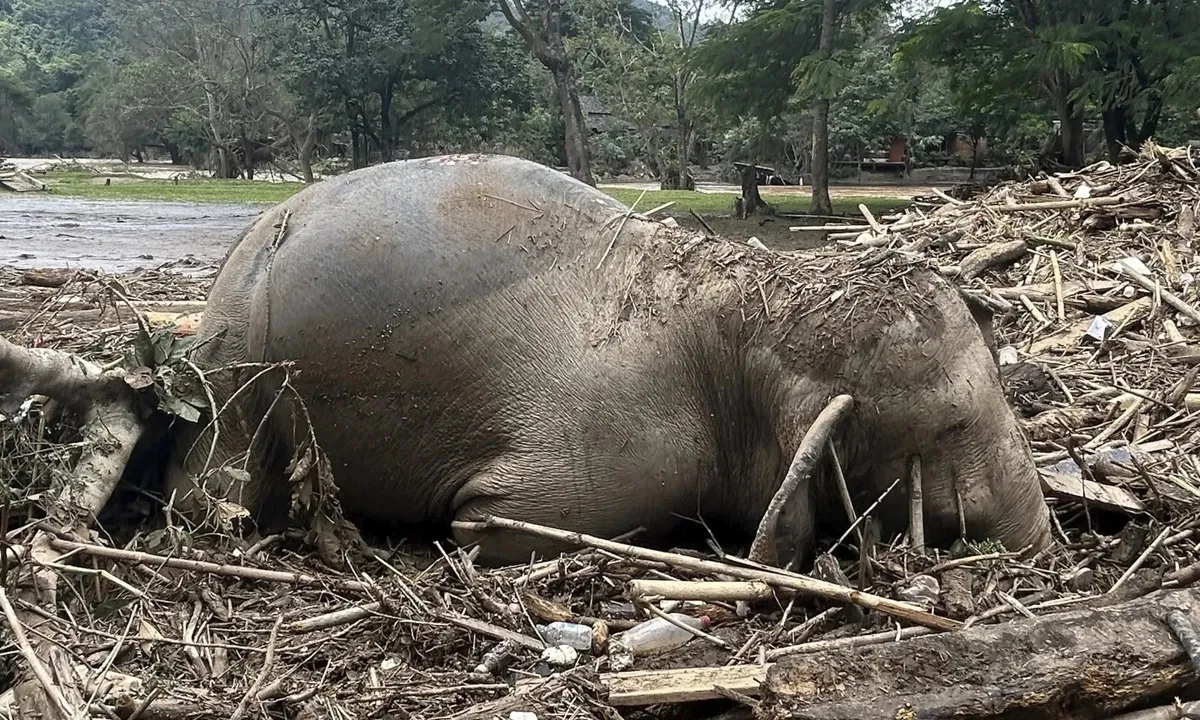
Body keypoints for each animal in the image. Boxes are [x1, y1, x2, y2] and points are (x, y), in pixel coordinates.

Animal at [164, 153, 1056, 568]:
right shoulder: (623, 453)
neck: (748, 307)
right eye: (951, 424)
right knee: (222, 482)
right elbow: (492, 521)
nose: (1047, 543)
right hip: (236, 367)